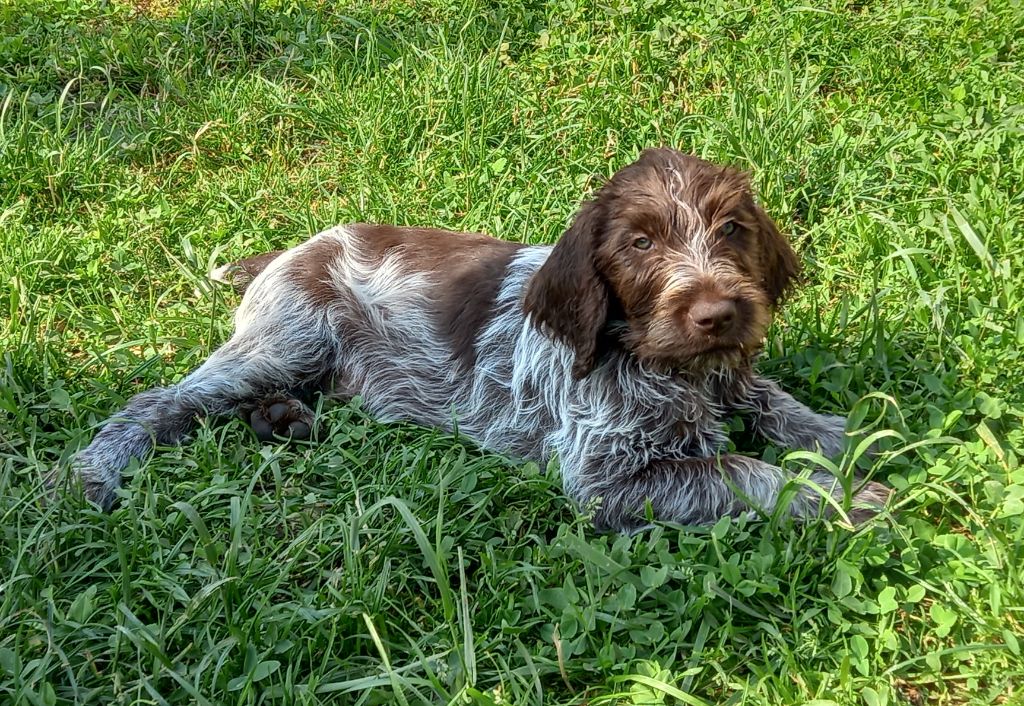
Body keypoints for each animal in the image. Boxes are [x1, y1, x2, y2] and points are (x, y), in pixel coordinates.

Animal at [66, 145, 888, 528]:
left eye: (732, 230)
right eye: (640, 244)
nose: (718, 314)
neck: (666, 363)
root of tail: (292, 249)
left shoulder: (729, 377)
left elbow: (780, 405)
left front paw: (851, 439)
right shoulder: (609, 479)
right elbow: (746, 471)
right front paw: (855, 497)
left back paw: (282, 418)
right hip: (286, 338)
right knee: (159, 403)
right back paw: (88, 475)